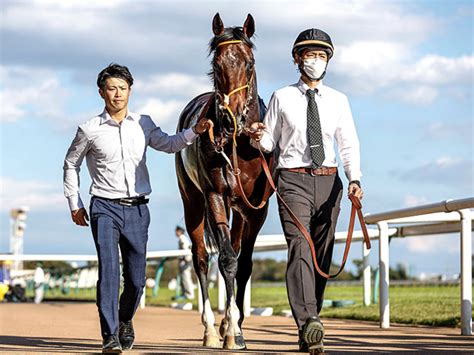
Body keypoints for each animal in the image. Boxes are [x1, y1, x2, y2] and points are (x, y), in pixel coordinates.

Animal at [174, 13, 272, 350]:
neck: (238, 145)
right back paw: (210, 330)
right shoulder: (216, 195)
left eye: (250, 63)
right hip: (192, 200)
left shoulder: (257, 209)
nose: (231, 118)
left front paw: (237, 325)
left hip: (239, 209)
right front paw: (230, 332)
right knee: (202, 258)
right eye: (216, 65)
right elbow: (227, 259)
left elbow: (244, 265)